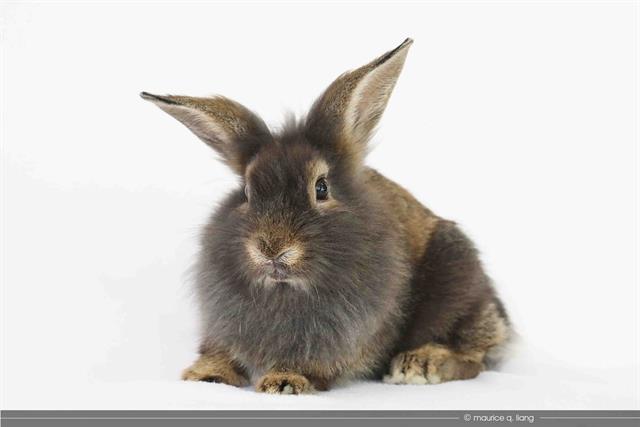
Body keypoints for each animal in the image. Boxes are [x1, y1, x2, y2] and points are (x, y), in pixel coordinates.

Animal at [140, 37, 510, 394]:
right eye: (245, 192)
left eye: (321, 188)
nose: (272, 249)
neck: (285, 289)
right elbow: (220, 350)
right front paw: (206, 375)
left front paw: (285, 380)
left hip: (456, 278)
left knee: (473, 356)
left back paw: (419, 365)